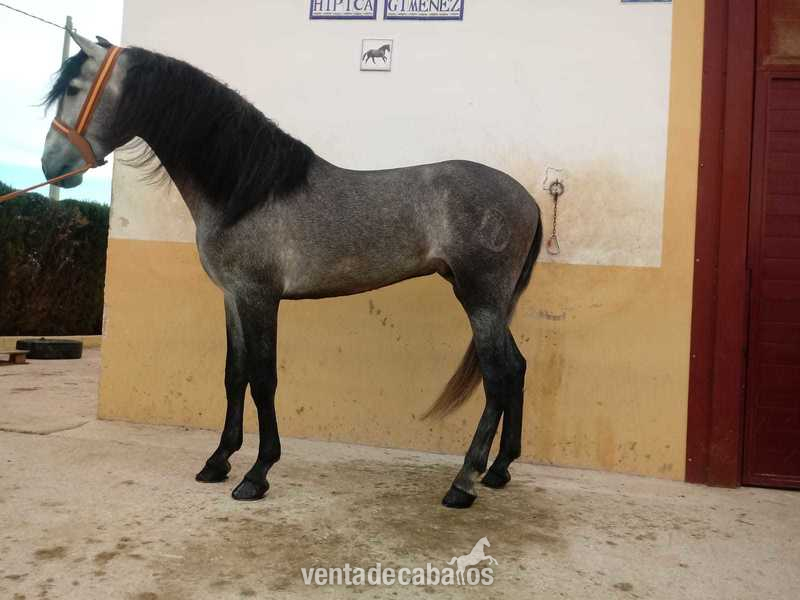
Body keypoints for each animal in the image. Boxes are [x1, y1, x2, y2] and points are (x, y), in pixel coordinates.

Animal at [38, 31, 542, 509]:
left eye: (75, 88)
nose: (50, 165)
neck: (247, 189)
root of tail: (531, 201)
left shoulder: (259, 296)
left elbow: (263, 378)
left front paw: (257, 474)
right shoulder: (233, 297)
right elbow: (234, 373)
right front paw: (218, 461)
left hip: (480, 298)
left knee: (497, 376)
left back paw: (464, 482)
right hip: (488, 301)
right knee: (516, 368)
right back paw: (499, 470)